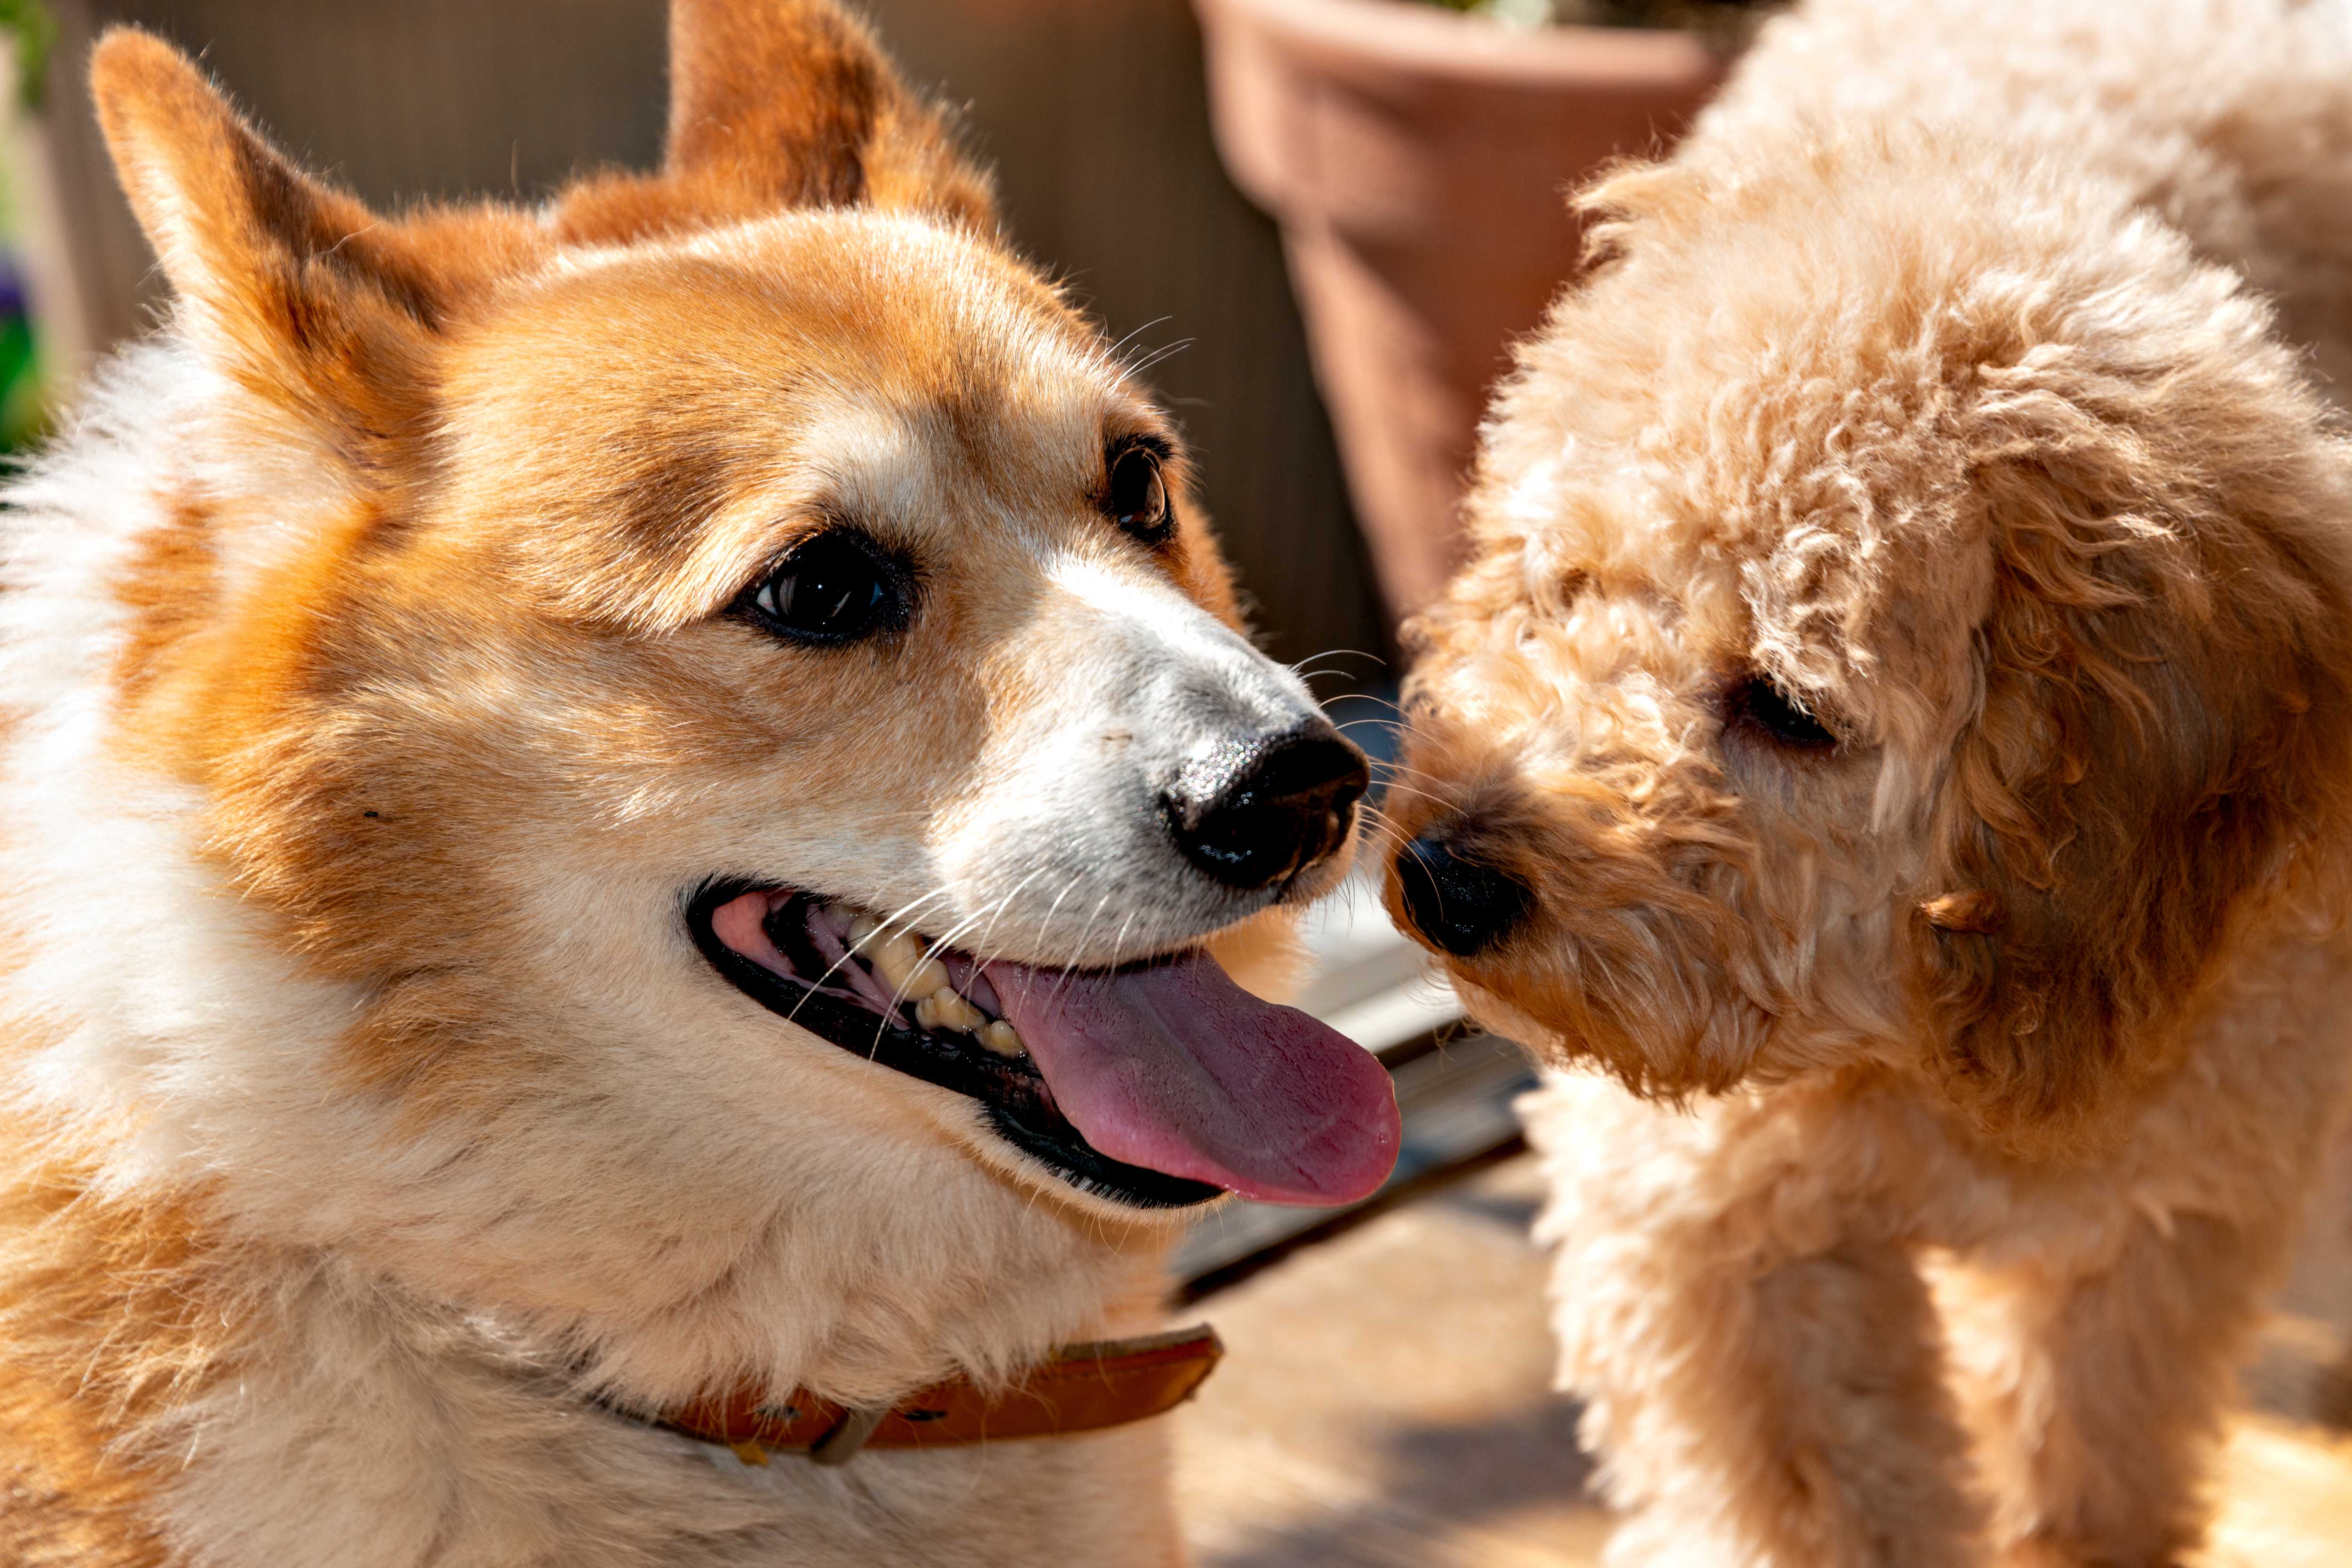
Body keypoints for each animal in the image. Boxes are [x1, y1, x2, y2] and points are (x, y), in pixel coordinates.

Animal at [1374, 3, 2352, 1568]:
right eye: (1570, 583)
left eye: (1788, 707)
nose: (1446, 878)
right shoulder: (1711, 1224)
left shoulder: (2162, 1225)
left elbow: (2094, 1470)